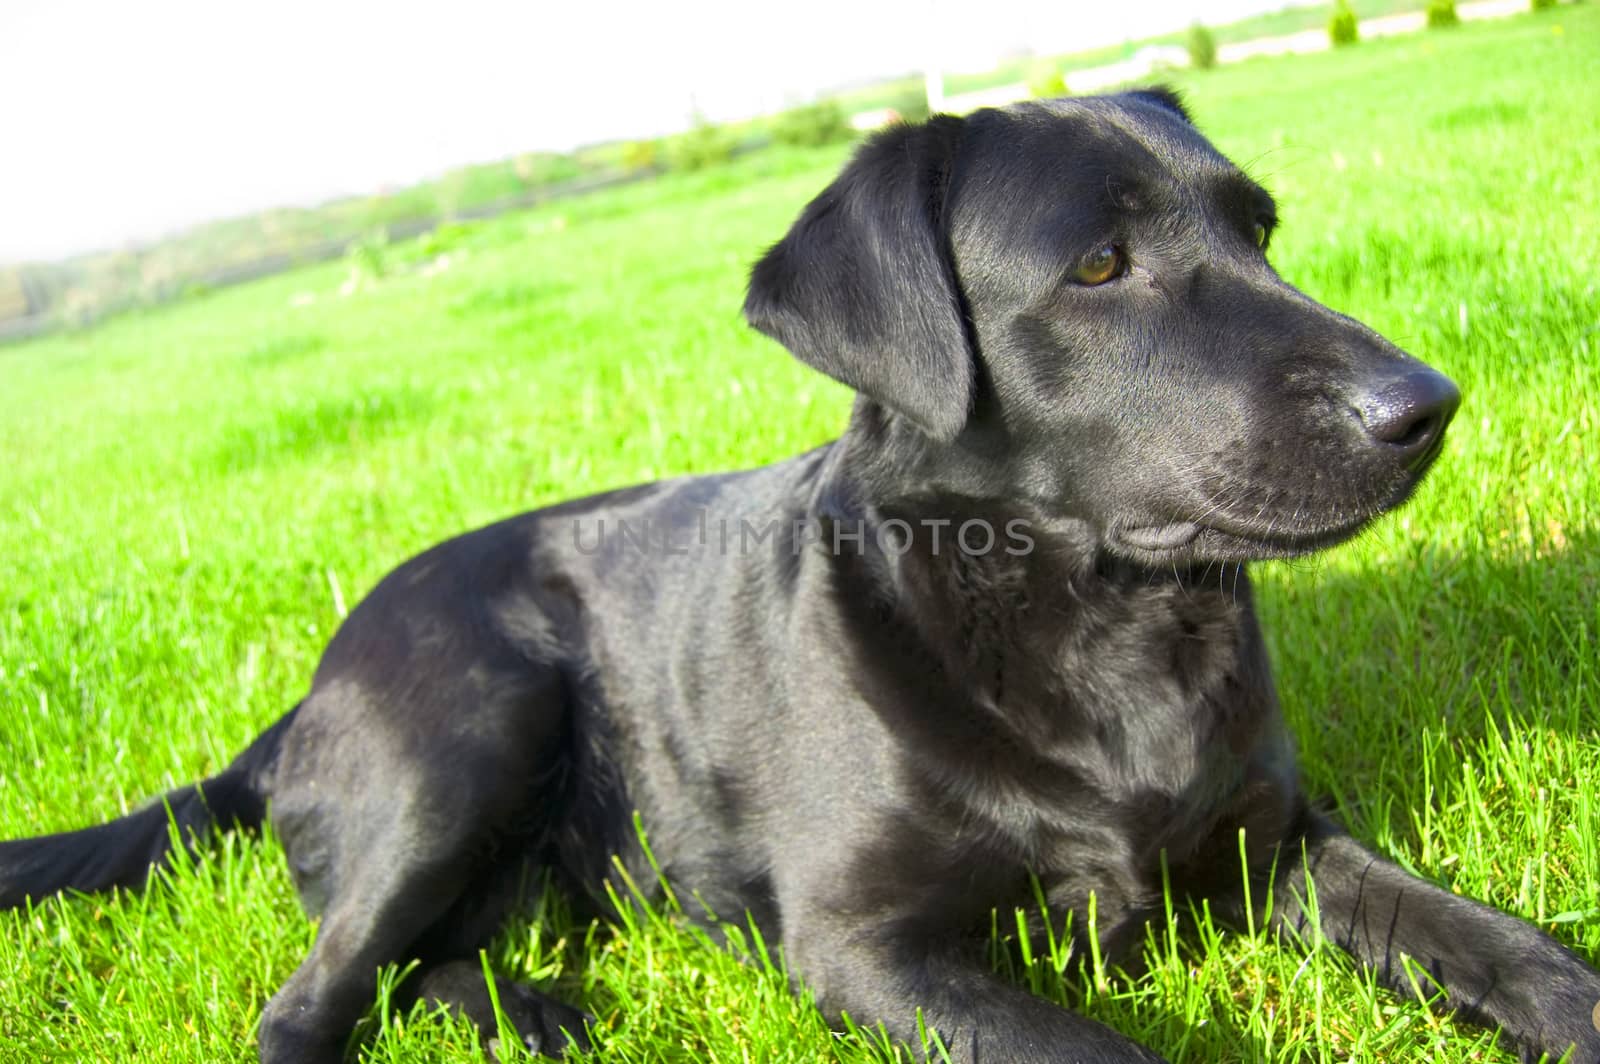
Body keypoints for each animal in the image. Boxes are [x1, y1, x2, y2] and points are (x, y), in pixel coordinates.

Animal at [3, 91, 1600, 1062]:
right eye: (1098, 266)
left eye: (1259, 229)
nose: (1425, 406)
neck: (1095, 628)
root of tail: (306, 691)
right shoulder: (861, 945)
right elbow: (1099, 1042)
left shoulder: (1276, 842)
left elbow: (1485, 938)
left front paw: (1562, 994)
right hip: (468, 726)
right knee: (310, 1000)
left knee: (426, 963)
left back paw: (532, 1016)